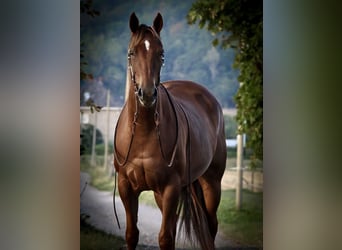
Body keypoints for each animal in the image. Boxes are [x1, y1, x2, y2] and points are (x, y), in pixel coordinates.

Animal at [114, 12, 227, 249]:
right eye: (132, 53)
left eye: (161, 53)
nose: (147, 93)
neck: (143, 135)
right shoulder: (126, 187)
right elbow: (132, 234)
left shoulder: (170, 188)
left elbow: (165, 238)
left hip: (212, 183)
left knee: (211, 225)